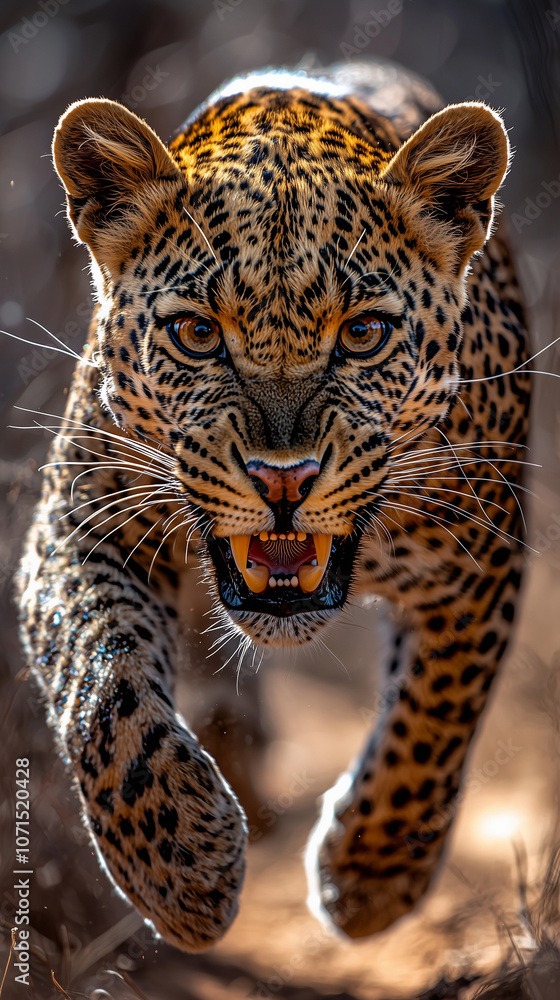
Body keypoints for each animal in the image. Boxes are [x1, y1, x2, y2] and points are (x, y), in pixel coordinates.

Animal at [16, 60, 530, 952]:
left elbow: (434, 715)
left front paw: (369, 879)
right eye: (195, 333)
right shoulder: (81, 521)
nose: (282, 477)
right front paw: (180, 867)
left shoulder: (479, 555)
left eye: (363, 334)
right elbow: (100, 683)